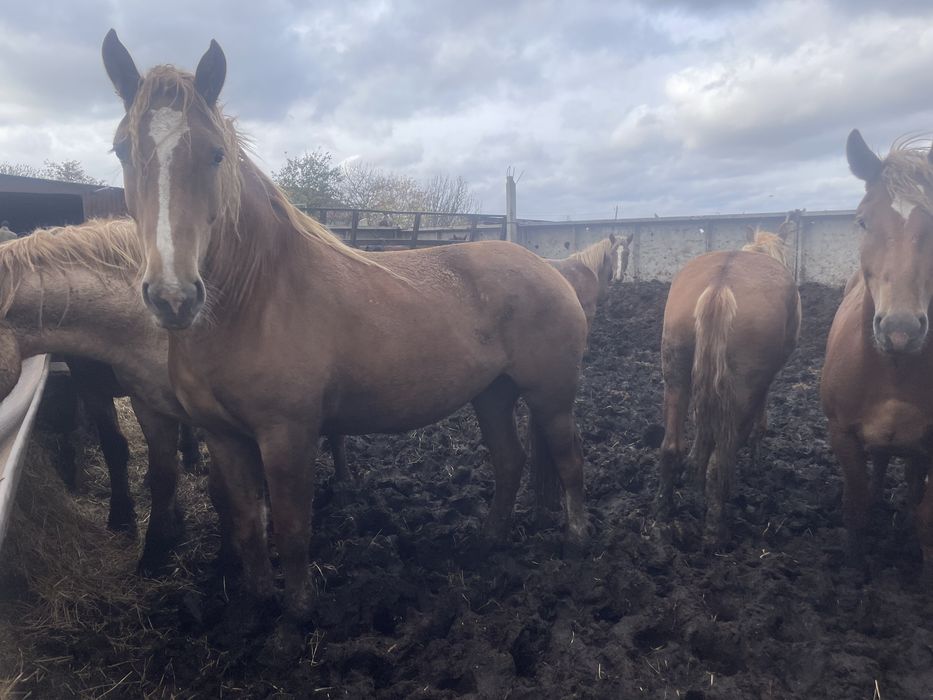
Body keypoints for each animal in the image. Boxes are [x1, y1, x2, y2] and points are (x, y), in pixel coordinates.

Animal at [102, 31, 589, 622]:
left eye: (215, 153)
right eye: (122, 151)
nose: (173, 296)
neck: (255, 300)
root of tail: (549, 270)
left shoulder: (288, 435)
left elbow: (292, 528)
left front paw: (299, 614)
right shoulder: (224, 437)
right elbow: (247, 526)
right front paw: (258, 606)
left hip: (550, 397)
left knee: (568, 461)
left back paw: (575, 542)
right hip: (493, 394)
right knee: (510, 461)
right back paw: (486, 542)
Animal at [658, 221, 800, 542]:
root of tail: (720, 285)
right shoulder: (764, 383)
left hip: (677, 371)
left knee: (672, 447)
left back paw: (665, 510)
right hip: (744, 388)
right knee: (720, 460)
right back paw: (714, 531)